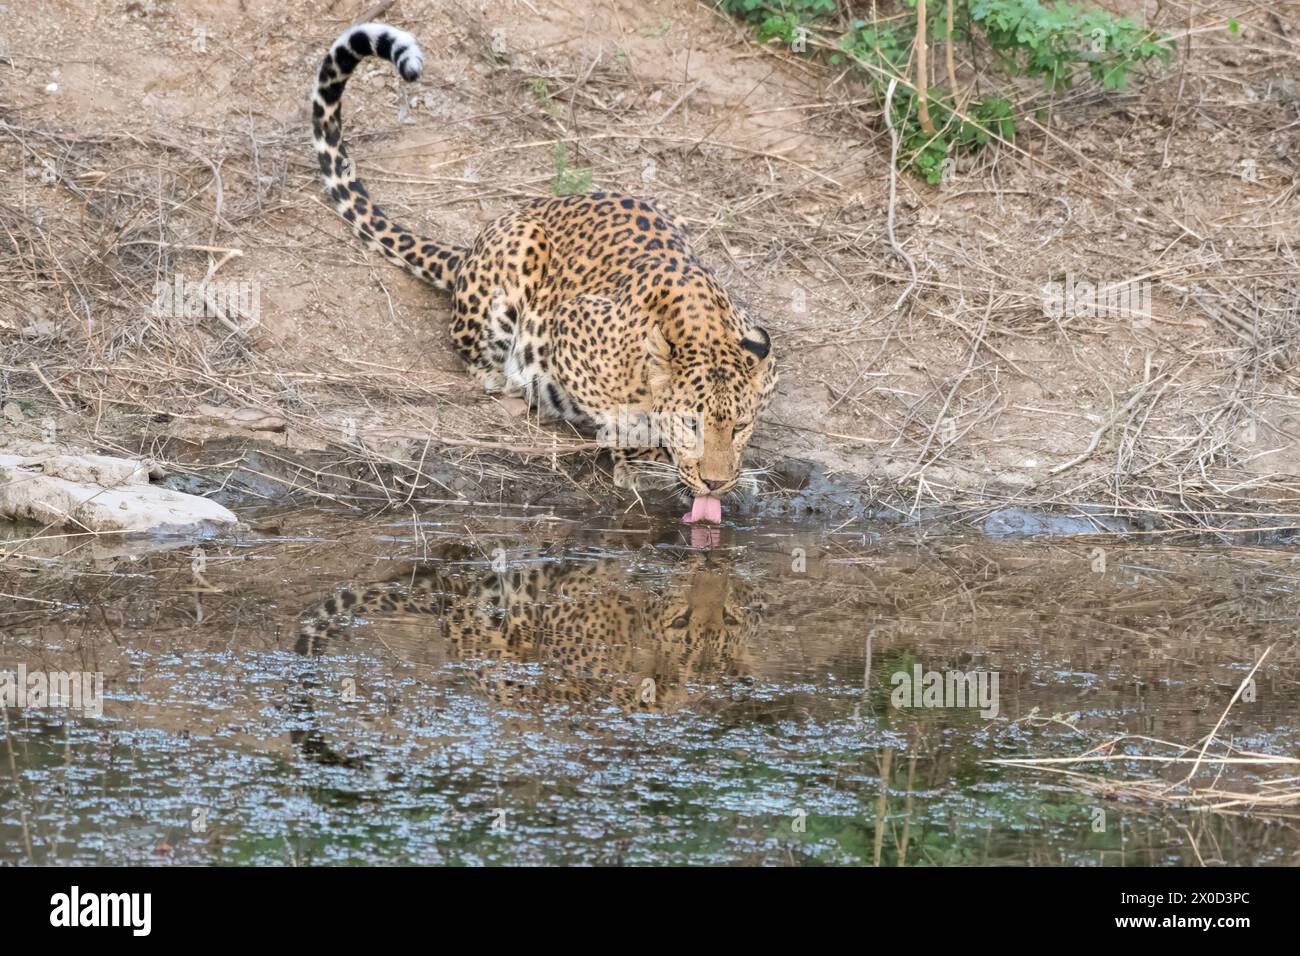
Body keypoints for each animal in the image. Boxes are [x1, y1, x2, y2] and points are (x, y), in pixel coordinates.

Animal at [309, 20, 774, 502]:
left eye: (740, 426)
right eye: (690, 424)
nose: (717, 484)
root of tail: (470, 247)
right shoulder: (573, 326)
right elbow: (620, 416)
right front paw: (642, 460)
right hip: (520, 247)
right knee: (468, 346)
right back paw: (504, 381)